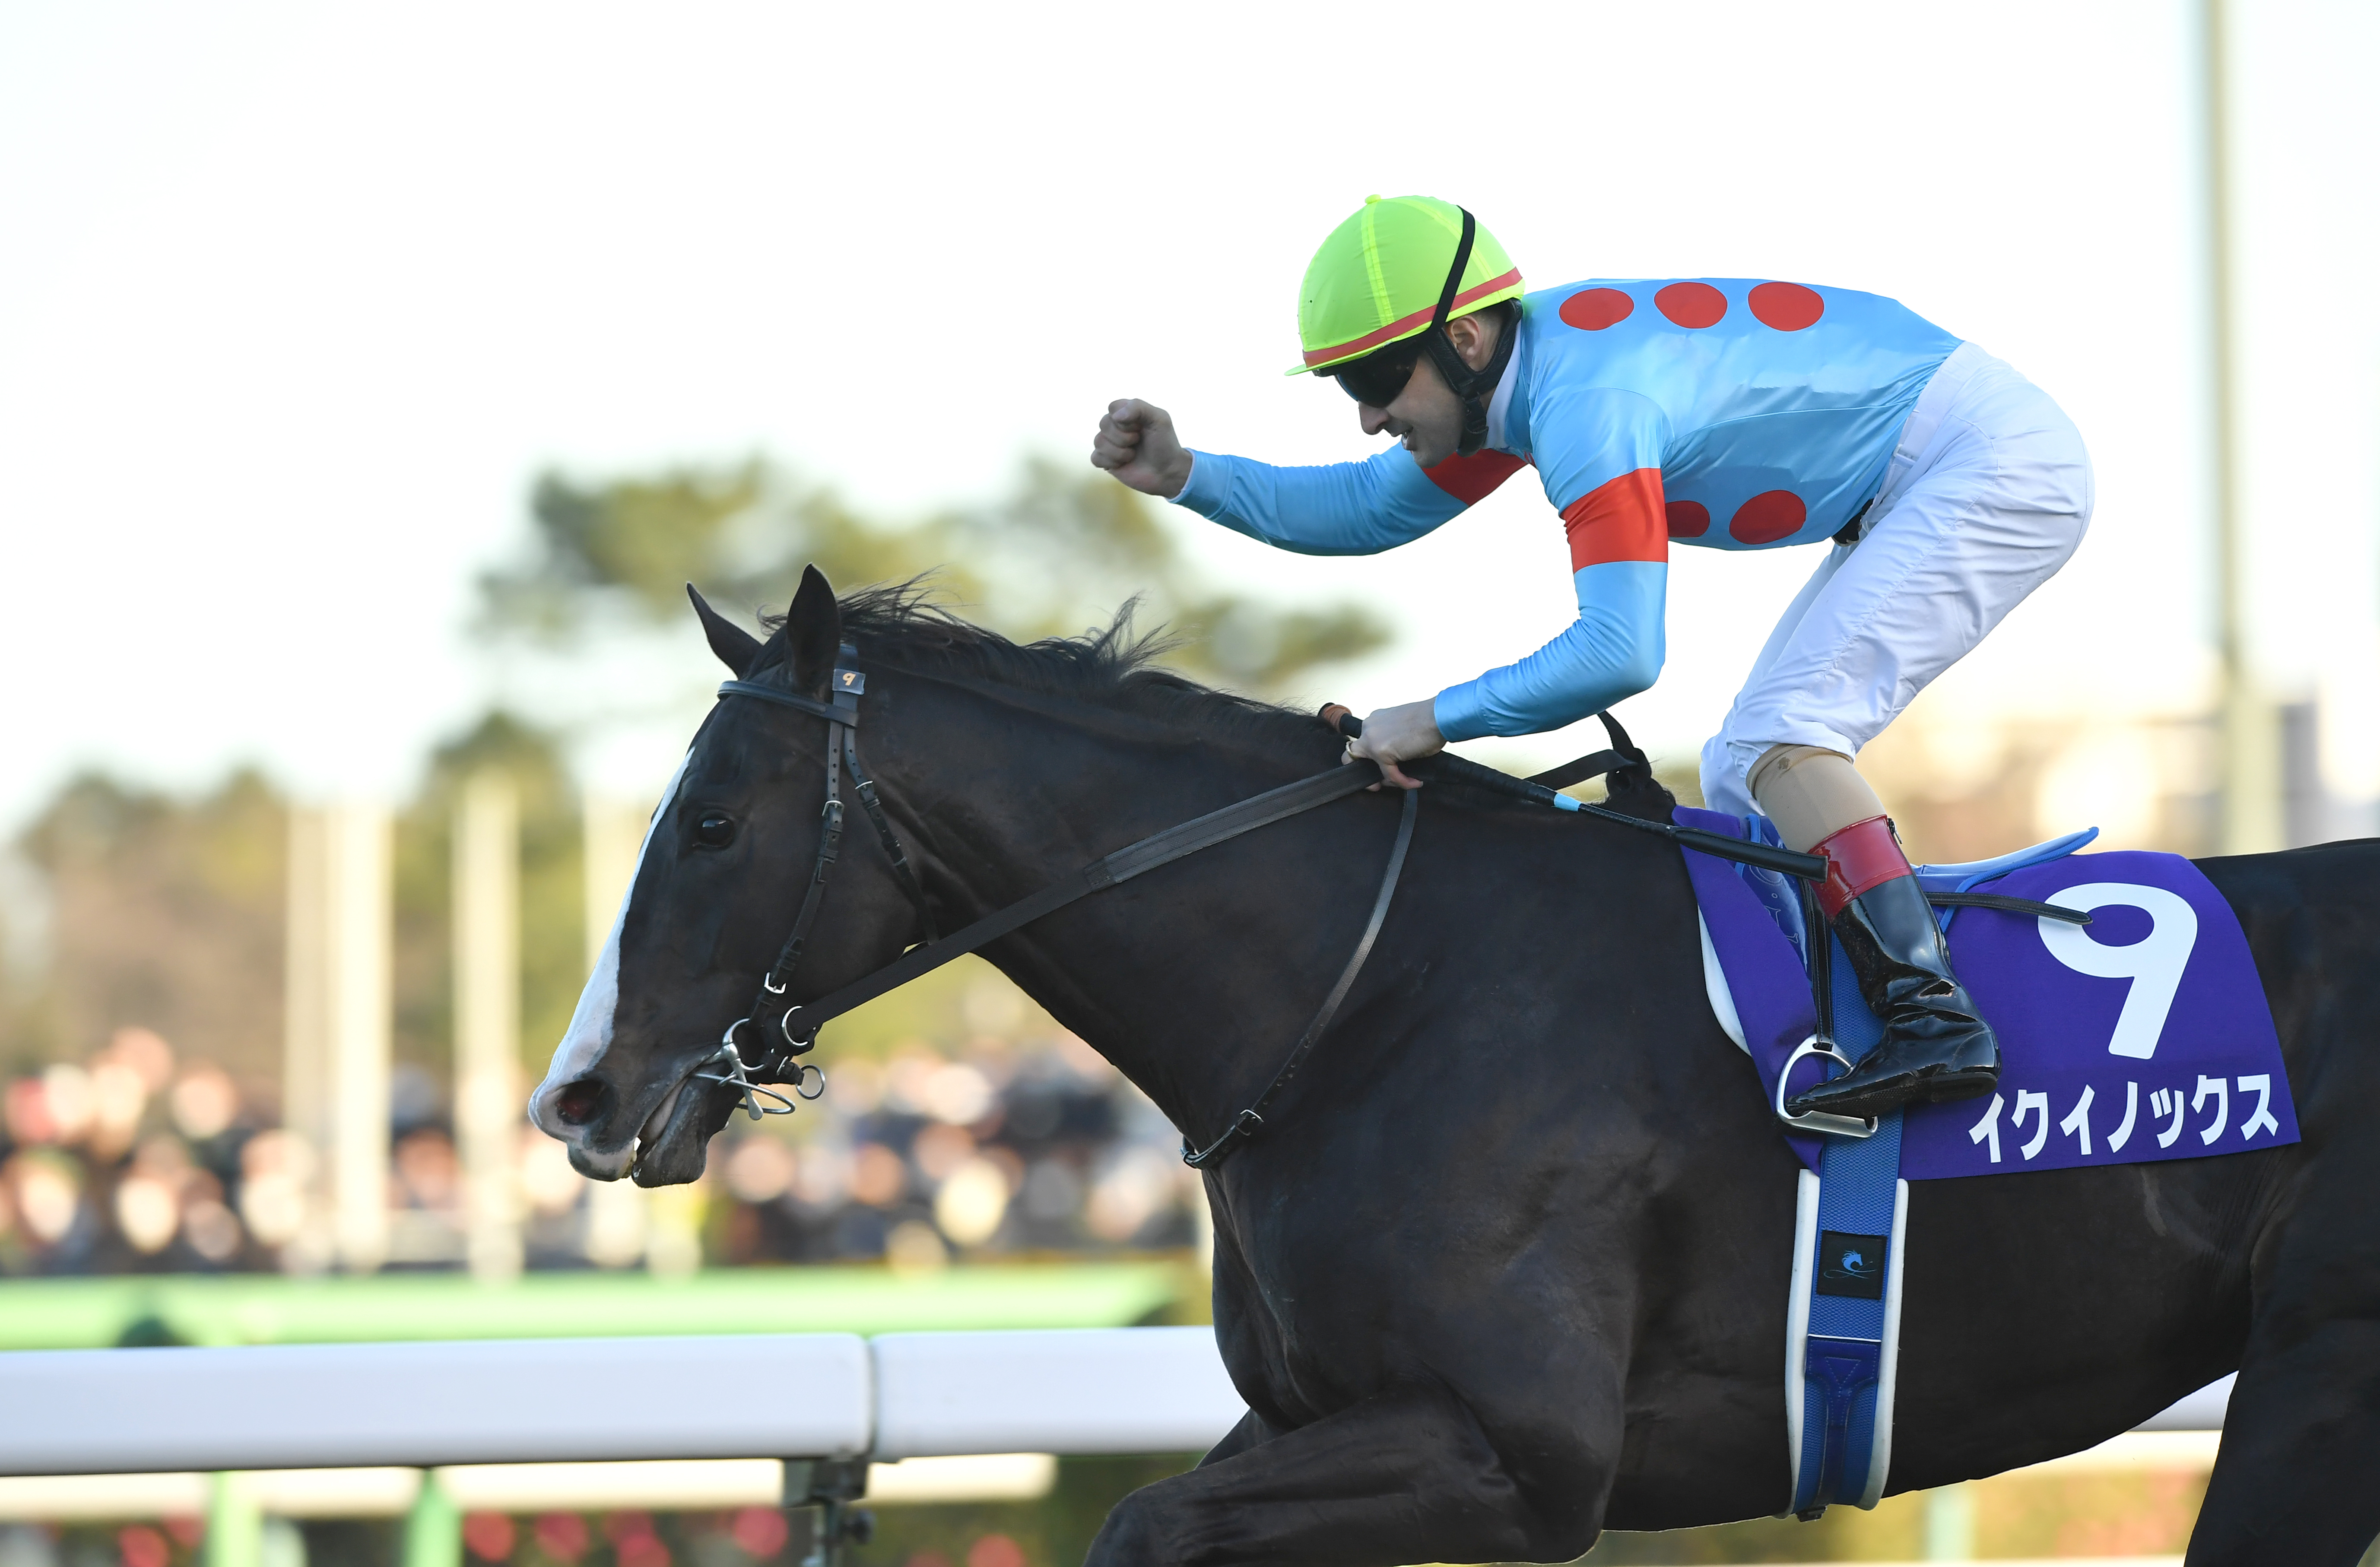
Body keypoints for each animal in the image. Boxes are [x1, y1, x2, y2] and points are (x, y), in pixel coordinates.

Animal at [529, 568, 2380, 1566]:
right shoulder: (1325, 1418)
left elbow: (1133, 1521)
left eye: (712, 819)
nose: (577, 1096)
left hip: (2317, 1366)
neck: (1376, 993)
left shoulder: (1524, 1449)